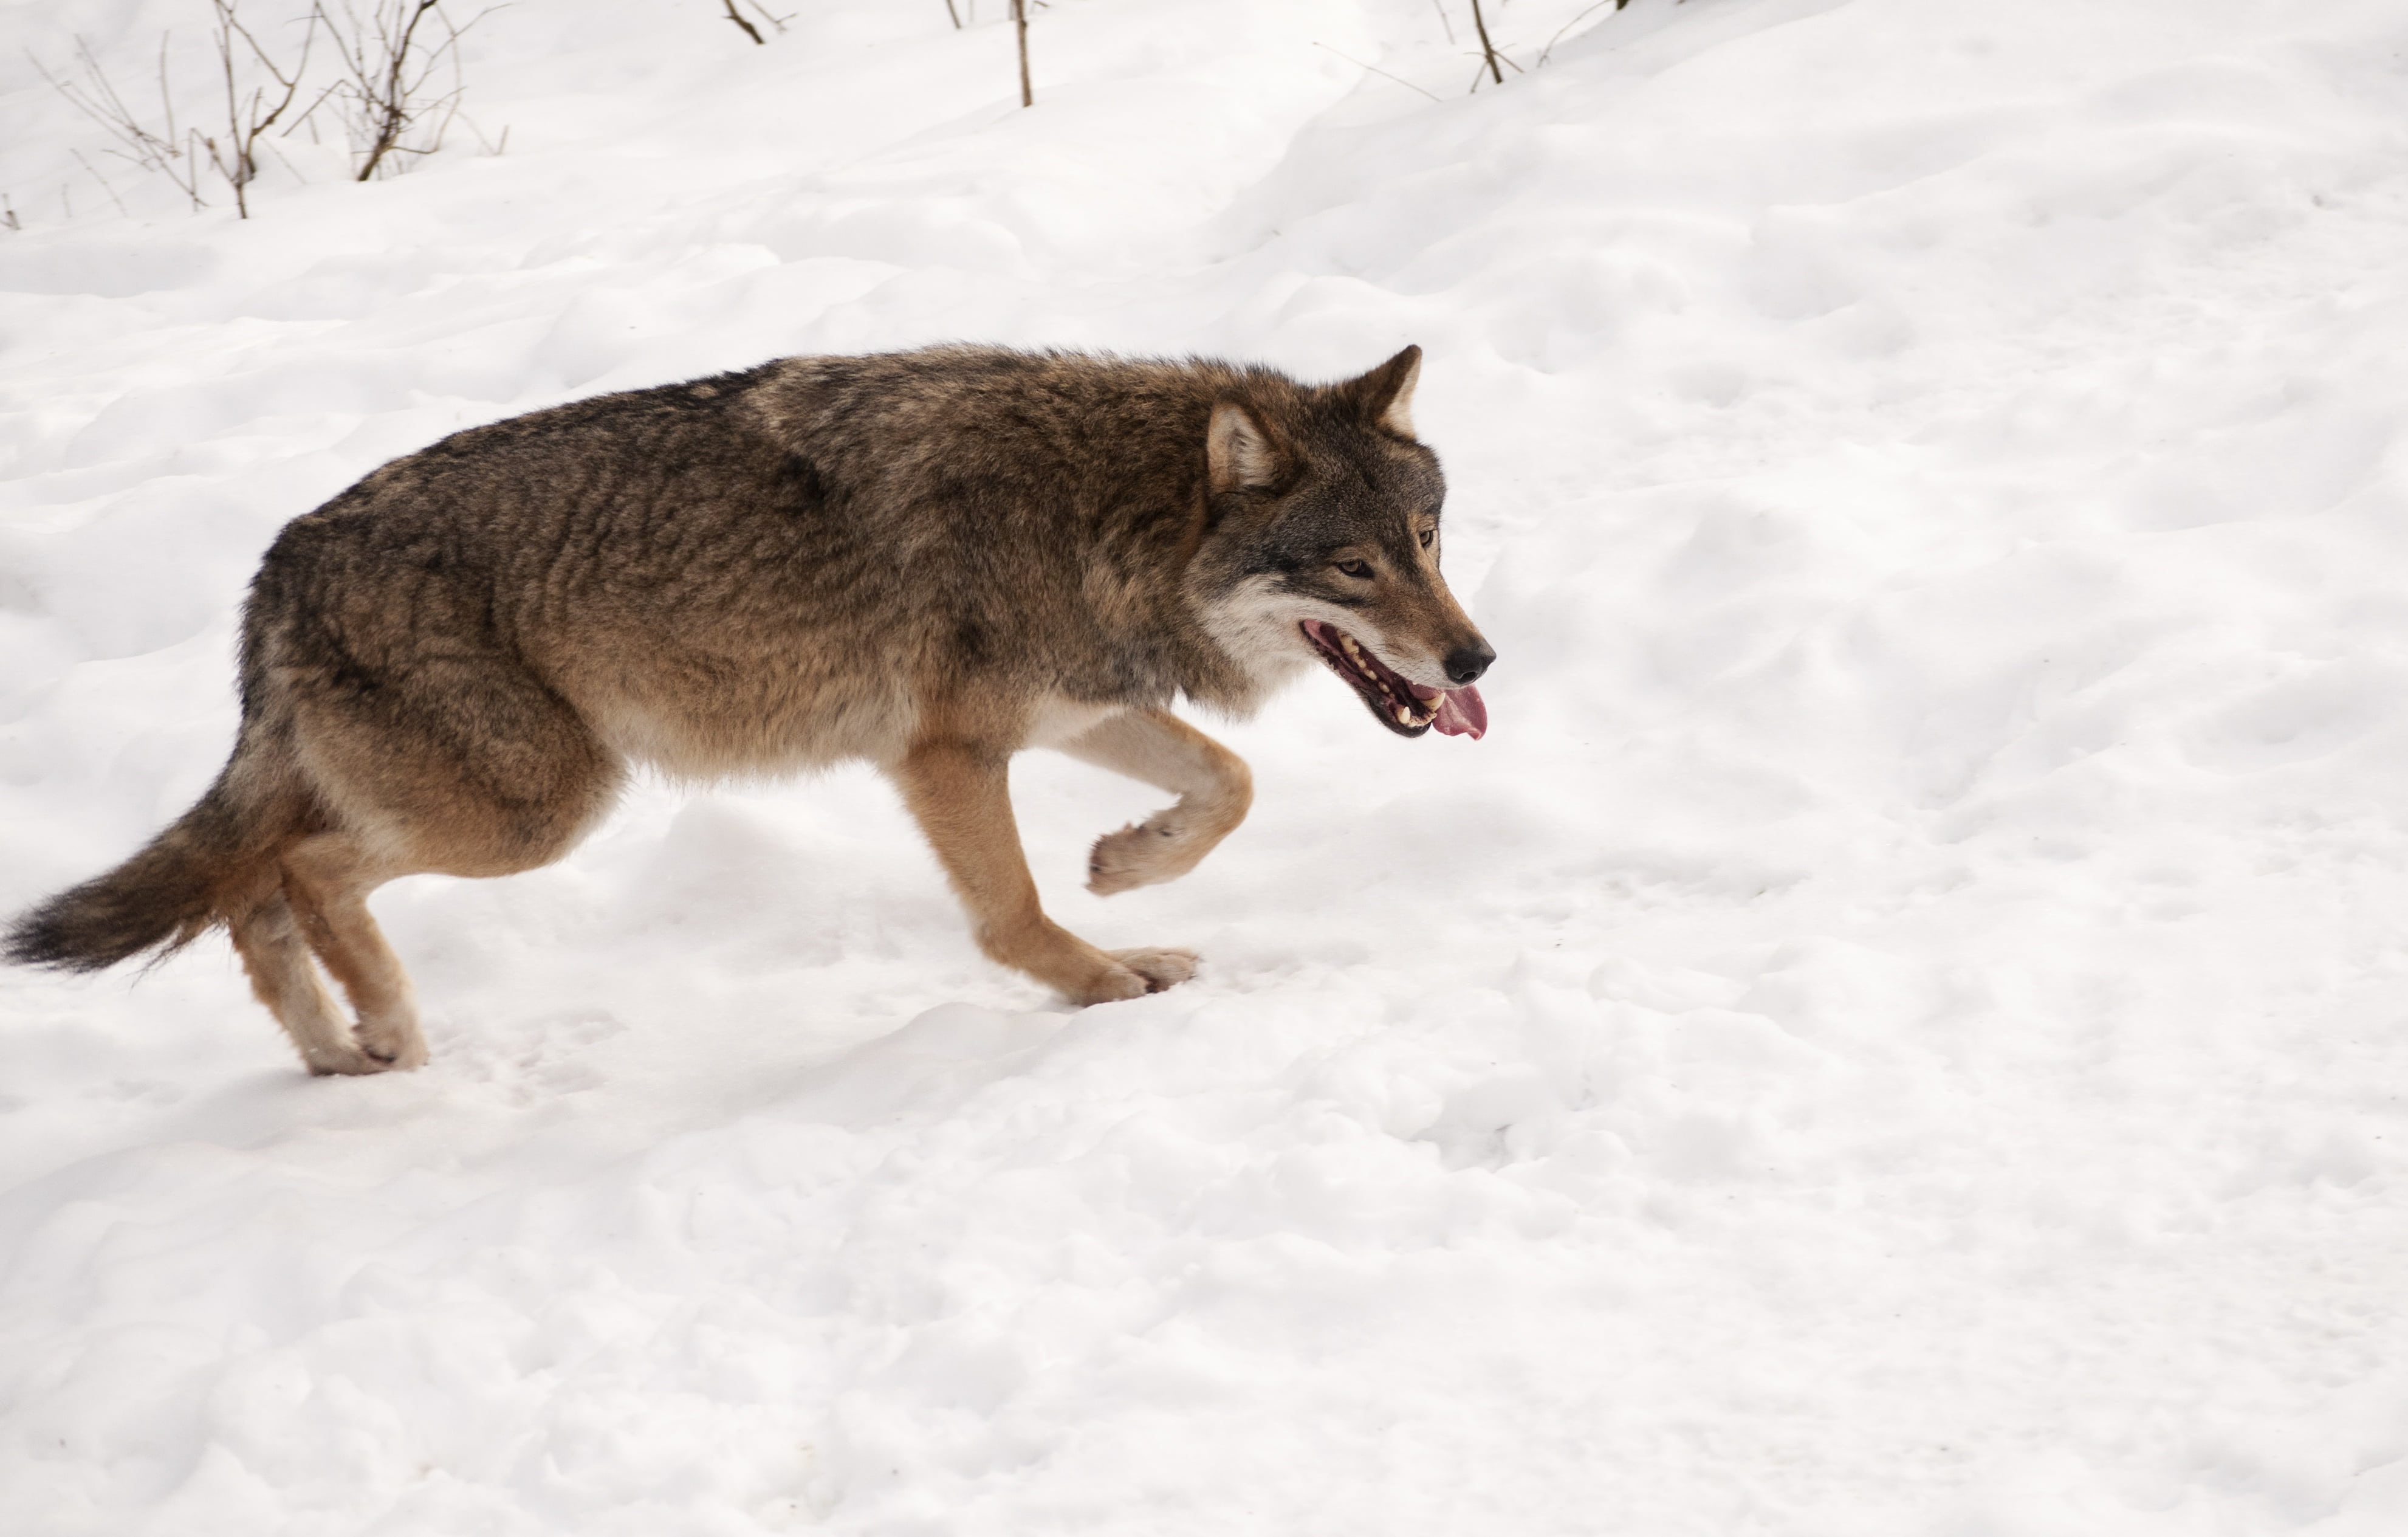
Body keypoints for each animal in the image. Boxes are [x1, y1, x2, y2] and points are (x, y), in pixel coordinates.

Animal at [6, 345, 1493, 1075]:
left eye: (1426, 536)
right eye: (1351, 567)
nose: (1476, 660)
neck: (1102, 511)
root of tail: (277, 564)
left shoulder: (1068, 713)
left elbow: (1229, 783)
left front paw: (1128, 869)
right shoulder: (945, 753)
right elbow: (1012, 916)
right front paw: (1105, 976)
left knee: (253, 895)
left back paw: (333, 1050)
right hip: (540, 809)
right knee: (306, 872)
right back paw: (390, 1028)